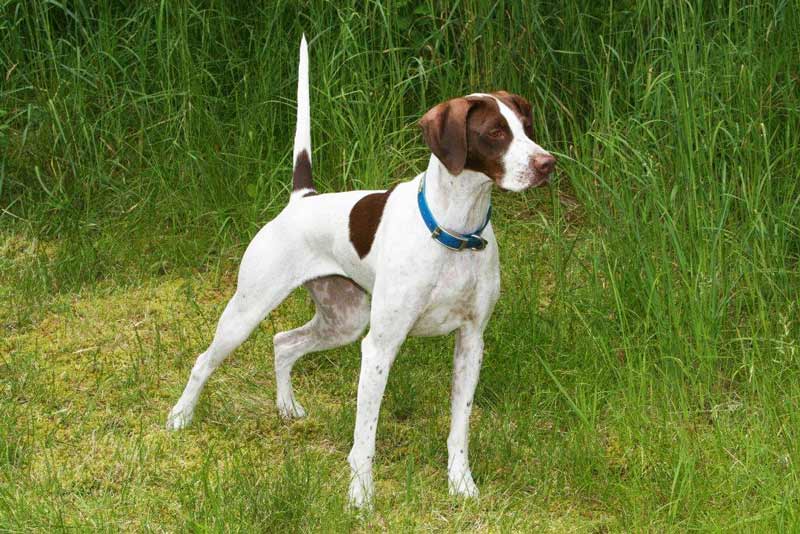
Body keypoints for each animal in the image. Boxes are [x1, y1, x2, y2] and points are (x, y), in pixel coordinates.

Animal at [167, 34, 556, 510]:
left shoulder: (471, 342)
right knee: (205, 361)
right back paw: (181, 415)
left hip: (344, 321)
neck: (454, 234)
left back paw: (286, 407)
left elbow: (458, 430)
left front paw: (460, 483)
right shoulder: (379, 347)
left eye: (527, 127)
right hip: (247, 312)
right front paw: (360, 496)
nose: (547, 164)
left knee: (282, 343)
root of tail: (302, 199)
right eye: (495, 133)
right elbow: (364, 437)